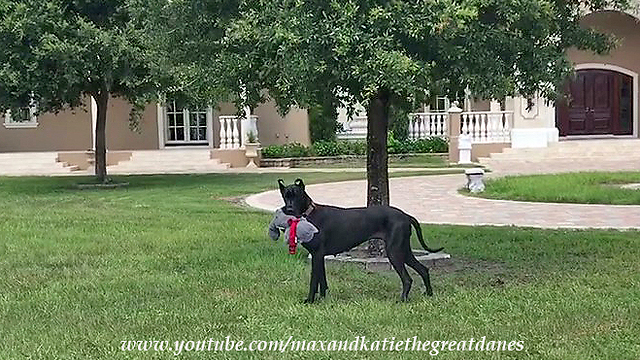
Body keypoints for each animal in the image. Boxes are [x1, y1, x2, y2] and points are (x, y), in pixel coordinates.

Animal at [278, 179, 442, 302]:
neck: (309, 213)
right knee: (423, 269)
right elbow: (322, 281)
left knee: (407, 279)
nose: (289, 209)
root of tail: (405, 215)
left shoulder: (317, 255)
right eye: (286, 196)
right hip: (403, 250)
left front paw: (310, 301)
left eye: (297, 195)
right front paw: (323, 299)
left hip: (394, 252)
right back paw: (429, 294)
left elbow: (314, 281)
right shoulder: (319, 256)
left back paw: (402, 300)